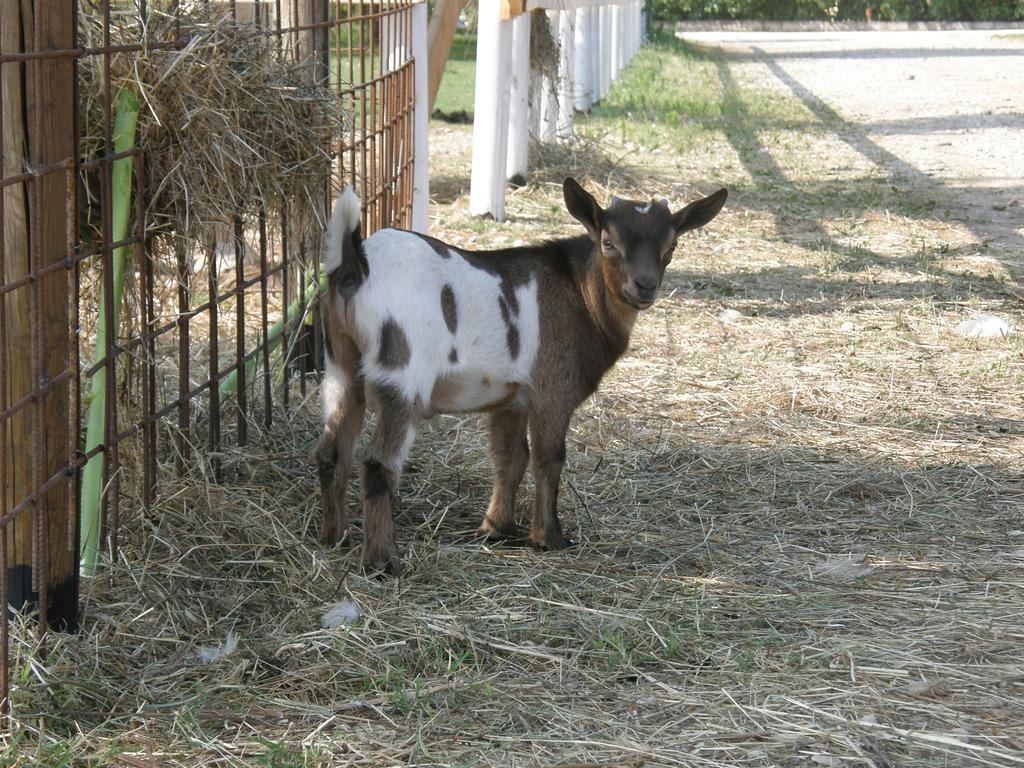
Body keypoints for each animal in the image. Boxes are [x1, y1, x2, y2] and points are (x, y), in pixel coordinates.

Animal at [315, 176, 724, 573]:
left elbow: (510, 457)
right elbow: (549, 457)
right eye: (608, 242)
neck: (580, 293)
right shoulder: (552, 391)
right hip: (403, 372)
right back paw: (381, 561)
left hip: (341, 367)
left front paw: (497, 528)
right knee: (379, 462)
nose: (645, 286)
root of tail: (356, 266)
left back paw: (335, 538)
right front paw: (550, 537)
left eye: (672, 246)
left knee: (333, 451)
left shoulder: (510, 399)